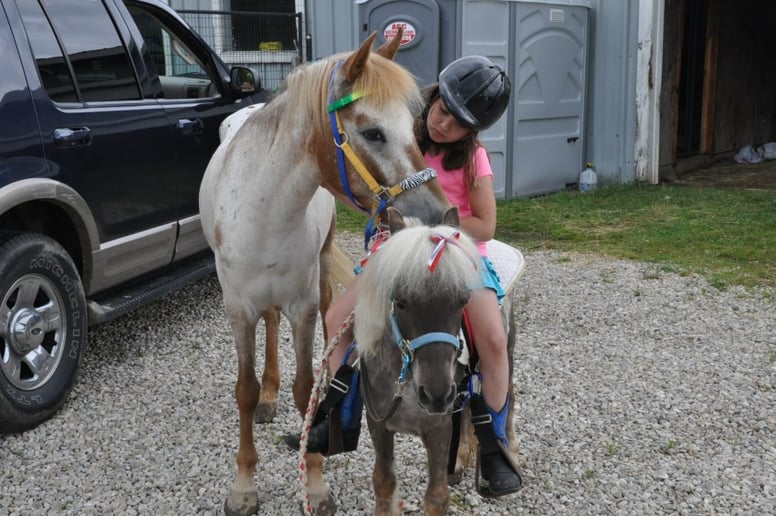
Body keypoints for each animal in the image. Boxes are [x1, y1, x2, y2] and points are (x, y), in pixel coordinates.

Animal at [198, 30, 451, 515]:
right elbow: (244, 390)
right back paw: (268, 396)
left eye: (414, 128)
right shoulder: (237, 309)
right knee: (268, 326)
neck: (264, 212)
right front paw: (244, 485)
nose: (436, 213)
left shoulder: (304, 306)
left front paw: (313, 483)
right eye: (373, 132)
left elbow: (304, 390)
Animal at [350, 208, 520, 515]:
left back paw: (509, 455)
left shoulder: (437, 430)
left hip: (504, 351)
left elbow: (436, 497)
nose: (436, 394)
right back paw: (461, 460)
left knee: (507, 399)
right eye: (401, 302)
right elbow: (383, 482)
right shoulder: (378, 426)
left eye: (463, 300)